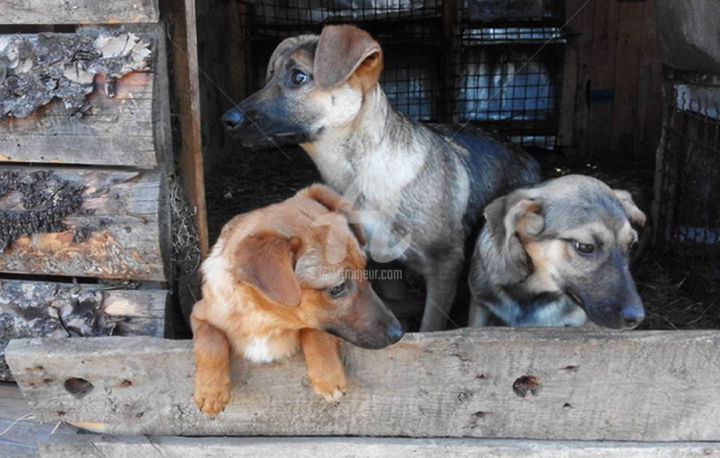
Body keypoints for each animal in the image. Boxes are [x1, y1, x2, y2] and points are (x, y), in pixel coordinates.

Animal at [191, 182, 404, 416]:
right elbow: (210, 339)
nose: (399, 333)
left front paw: (328, 376)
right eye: (337, 288)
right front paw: (211, 391)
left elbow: (314, 331)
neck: (266, 319)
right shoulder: (199, 312)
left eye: (365, 270)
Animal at [225, 24, 540, 330]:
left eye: (298, 77)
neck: (360, 176)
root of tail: (529, 157)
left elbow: (430, 327)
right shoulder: (384, 263)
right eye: (270, 76)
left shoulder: (445, 267)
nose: (226, 120)